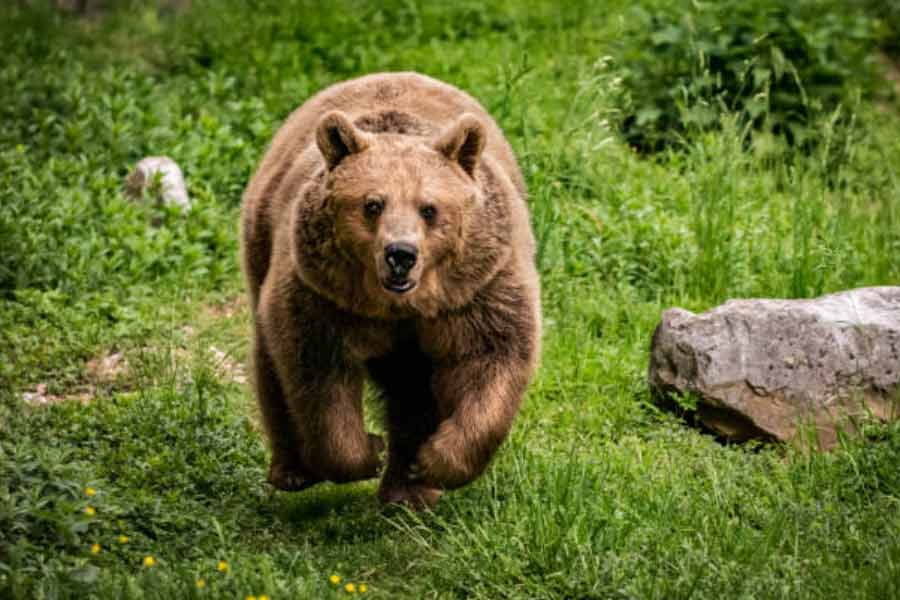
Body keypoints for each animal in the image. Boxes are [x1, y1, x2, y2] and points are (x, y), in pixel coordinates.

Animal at [241, 72, 541, 508]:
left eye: (429, 208)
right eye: (372, 204)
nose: (401, 254)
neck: (400, 306)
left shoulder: (476, 291)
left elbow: (492, 357)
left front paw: (433, 461)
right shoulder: (324, 296)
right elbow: (319, 376)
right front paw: (367, 450)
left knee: (413, 391)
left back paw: (409, 490)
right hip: (263, 244)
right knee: (271, 362)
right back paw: (294, 471)